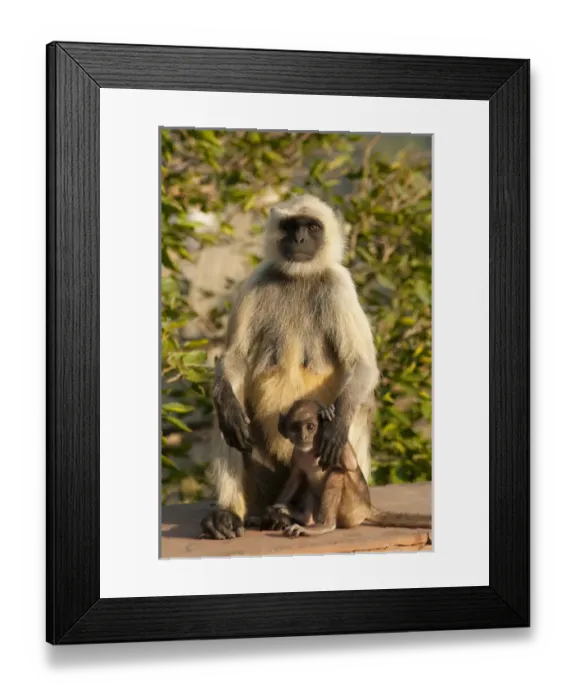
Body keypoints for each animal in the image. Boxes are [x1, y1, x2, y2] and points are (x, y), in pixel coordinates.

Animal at [200, 193, 380, 539]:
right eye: (291, 226)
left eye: (311, 227)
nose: (298, 239)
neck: (299, 277)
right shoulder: (259, 280)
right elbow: (234, 359)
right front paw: (228, 404)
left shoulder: (339, 285)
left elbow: (363, 366)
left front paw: (336, 425)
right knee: (228, 415)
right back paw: (230, 515)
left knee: (358, 404)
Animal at [263, 399, 432, 538]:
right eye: (295, 428)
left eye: (310, 427)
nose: (303, 437)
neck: (310, 451)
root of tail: (367, 506)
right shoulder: (297, 454)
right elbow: (296, 477)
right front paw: (273, 513)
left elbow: (351, 464)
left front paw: (329, 416)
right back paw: (306, 518)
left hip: (352, 510)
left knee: (337, 473)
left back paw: (323, 526)